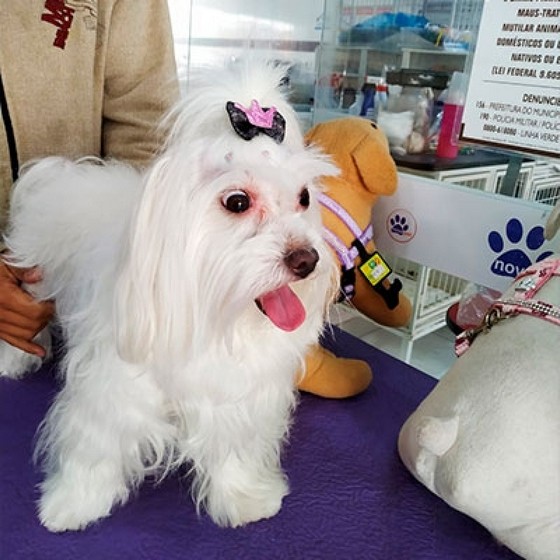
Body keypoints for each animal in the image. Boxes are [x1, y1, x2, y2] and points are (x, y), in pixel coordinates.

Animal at [1, 63, 336, 532]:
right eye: (237, 201)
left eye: (304, 198)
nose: (306, 259)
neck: (214, 315)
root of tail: (62, 171)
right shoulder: (114, 389)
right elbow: (97, 446)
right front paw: (73, 504)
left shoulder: (232, 397)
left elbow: (231, 448)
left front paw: (244, 499)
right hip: (33, 282)